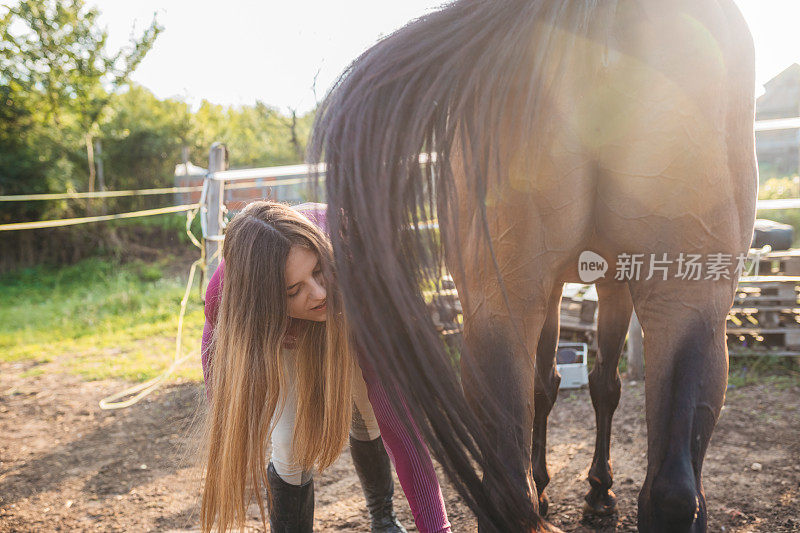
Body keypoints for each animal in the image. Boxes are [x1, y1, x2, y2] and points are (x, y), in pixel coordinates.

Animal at [310, 2, 756, 528]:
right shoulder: (597, 285)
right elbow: (587, 384)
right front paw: (596, 492)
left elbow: (566, 386)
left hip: (535, 303)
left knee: (656, 493)